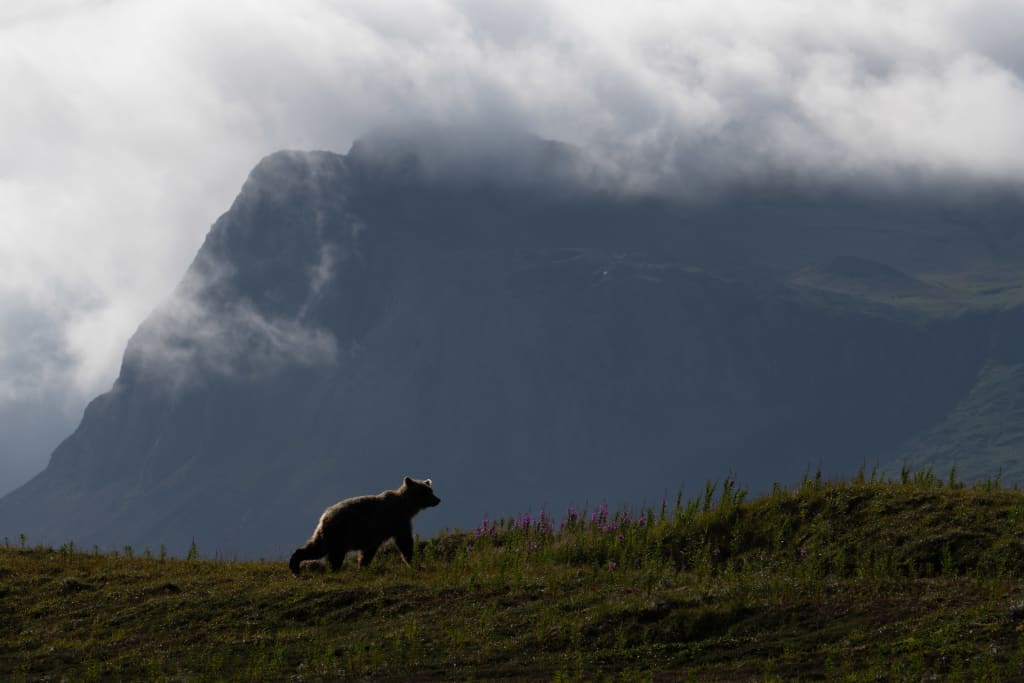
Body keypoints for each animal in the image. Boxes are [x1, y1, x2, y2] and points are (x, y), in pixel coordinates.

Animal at [289, 476, 441, 575]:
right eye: (427, 492)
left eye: (431, 490)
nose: (438, 500)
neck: (407, 506)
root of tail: (324, 516)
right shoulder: (396, 521)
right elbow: (405, 542)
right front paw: (414, 562)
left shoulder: (376, 533)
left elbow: (369, 550)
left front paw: (362, 565)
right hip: (340, 533)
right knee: (330, 554)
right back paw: (330, 569)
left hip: (327, 535)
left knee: (316, 548)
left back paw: (296, 565)